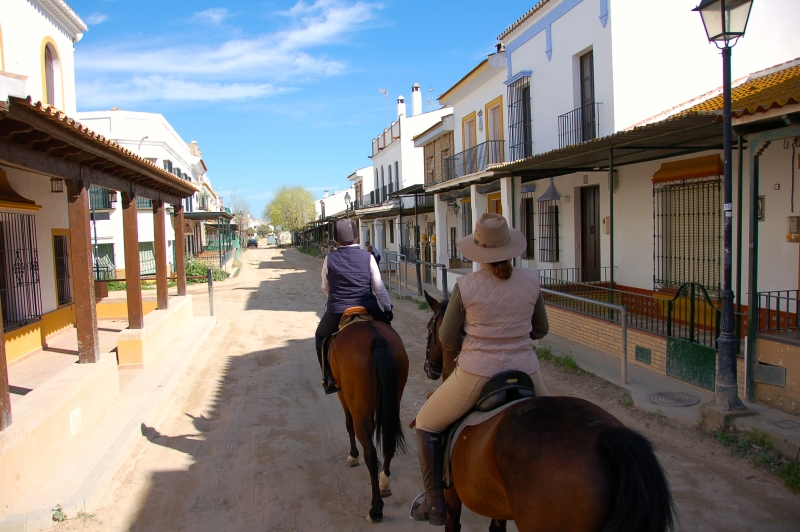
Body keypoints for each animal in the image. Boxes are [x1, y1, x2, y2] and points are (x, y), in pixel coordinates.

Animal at [328, 320, 410, 524]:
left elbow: (348, 424)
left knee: (370, 452)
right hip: (393, 398)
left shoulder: (342, 393)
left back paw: (375, 509)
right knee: (389, 441)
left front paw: (353, 456)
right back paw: (385, 483)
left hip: (358, 404)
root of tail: (377, 339)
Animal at [422, 290, 672, 532]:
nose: (428, 368)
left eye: (430, 328)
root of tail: (605, 436)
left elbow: (453, 525)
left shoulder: (452, 498)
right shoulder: (498, 506)